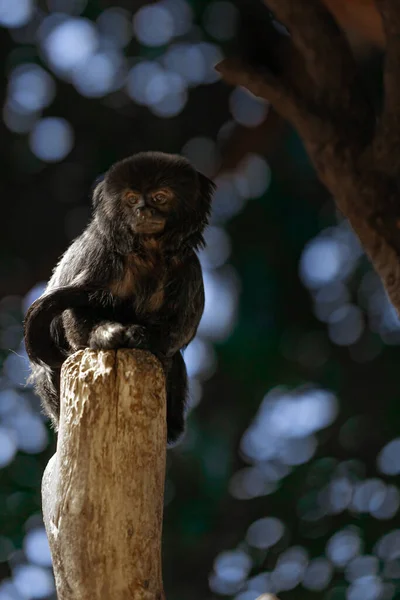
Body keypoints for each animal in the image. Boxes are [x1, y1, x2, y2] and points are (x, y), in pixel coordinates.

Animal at [23, 150, 216, 446]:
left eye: (160, 197)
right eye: (132, 199)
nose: (143, 210)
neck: (148, 254)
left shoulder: (188, 269)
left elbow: (182, 329)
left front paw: (144, 338)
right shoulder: (101, 254)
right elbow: (74, 317)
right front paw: (108, 334)